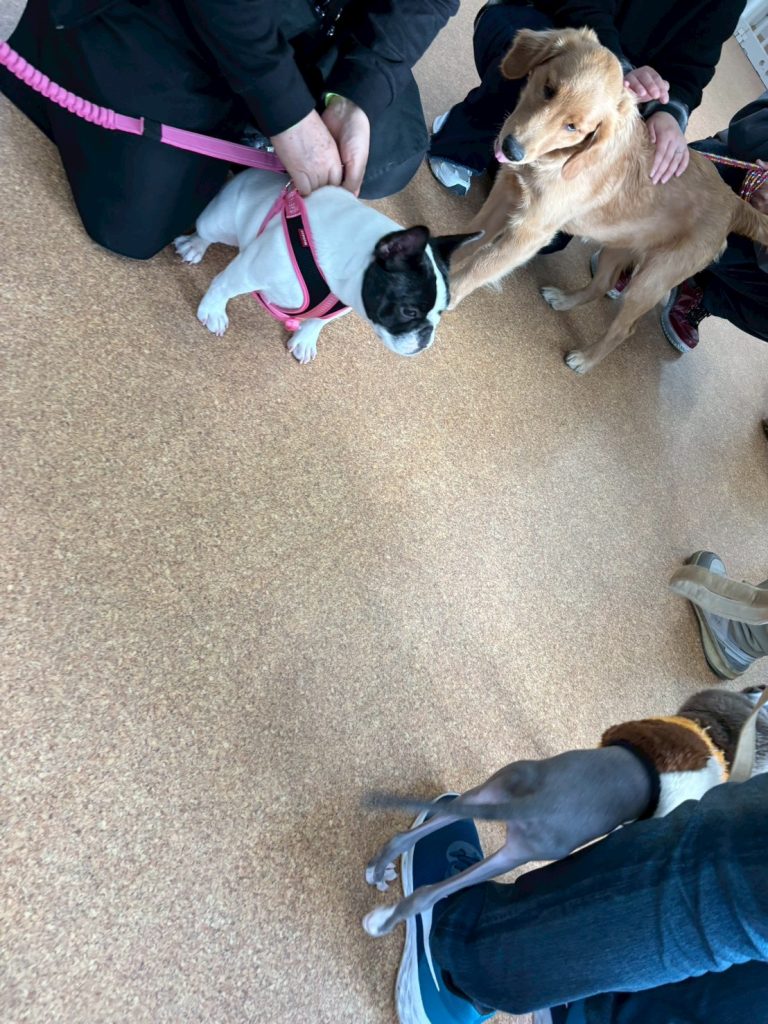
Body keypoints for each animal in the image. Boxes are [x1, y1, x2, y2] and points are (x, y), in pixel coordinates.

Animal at [174, 169, 476, 363]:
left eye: (440, 314)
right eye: (409, 311)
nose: (427, 335)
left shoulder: (342, 305)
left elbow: (319, 320)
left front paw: (306, 339)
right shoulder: (250, 270)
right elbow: (224, 286)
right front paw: (213, 311)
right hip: (220, 222)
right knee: (207, 232)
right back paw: (195, 245)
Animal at [362, 684, 768, 937]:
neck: (713, 734)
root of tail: (536, 800)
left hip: (497, 787)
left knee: (408, 837)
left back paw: (378, 872)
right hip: (523, 848)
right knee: (425, 895)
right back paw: (382, 921)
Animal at [449, 27, 768, 374]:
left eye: (573, 127)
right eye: (548, 89)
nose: (511, 149)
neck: (559, 160)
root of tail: (734, 201)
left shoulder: (528, 234)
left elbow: (477, 269)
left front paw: (446, 295)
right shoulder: (505, 194)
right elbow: (464, 240)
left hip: (650, 280)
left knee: (623, 329)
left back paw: (586, 360)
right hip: (618, 244)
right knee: (601, 284)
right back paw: (566, 300)